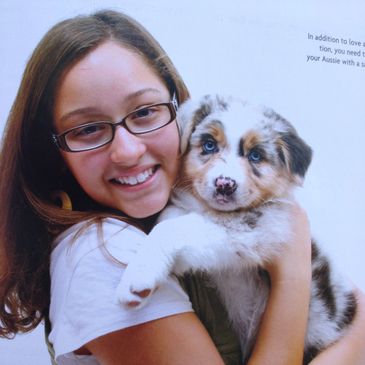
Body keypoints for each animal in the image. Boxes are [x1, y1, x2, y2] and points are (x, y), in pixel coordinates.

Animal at [116, 94, 356, 364]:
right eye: (209, 145)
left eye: (256, 155)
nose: (224, 185)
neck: (215, 210)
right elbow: (172, 217)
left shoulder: (254, 228)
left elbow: (172, 229)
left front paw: (137, 277)